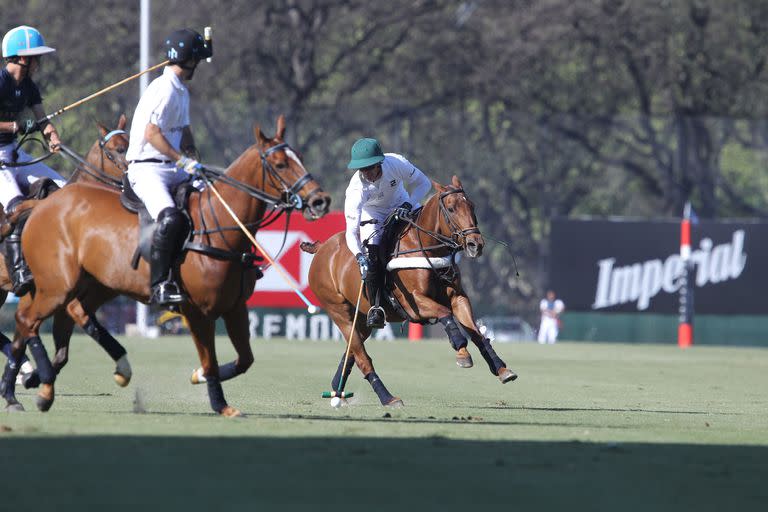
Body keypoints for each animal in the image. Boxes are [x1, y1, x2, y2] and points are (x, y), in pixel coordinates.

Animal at [3, 114, 332, 414]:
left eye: (300, 158)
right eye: (280, 164)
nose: (320, 201)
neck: (219, 225)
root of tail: (41, 206)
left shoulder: (235, 306)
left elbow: (244, 360)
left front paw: (198, 378)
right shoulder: (198, 311)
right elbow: (210, 360)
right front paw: (220, 403)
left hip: (86, 285)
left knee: (41, 321)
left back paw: (33, 385)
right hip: (57, 286)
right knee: (28, 320)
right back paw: (35, 385)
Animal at [302, 177, 516, 408]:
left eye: (472, 206)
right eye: (451, 208)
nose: (475, 244)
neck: (426, 247)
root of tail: (322, 248)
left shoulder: (458, 297)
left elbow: (477, 333)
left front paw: (502, 368)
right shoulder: (412, 303)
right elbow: (445, 313)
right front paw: (462, 352)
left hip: (361, 316)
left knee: (351, 351)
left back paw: (337, 390)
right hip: (338, 311)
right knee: (362, 358)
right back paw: (388, 398)